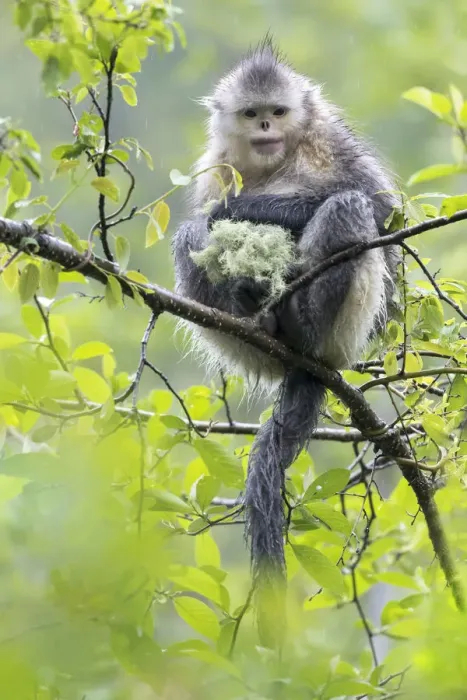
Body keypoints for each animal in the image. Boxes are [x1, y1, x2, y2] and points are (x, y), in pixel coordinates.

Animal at [172, 38, 399, 634]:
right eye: (253, 113)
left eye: (278, 110)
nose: (268, 126)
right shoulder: (218, 161)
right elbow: (201, 223)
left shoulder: (329, 139)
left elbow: (381, 214)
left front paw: (244, 209)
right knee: (188, 238)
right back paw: (256, 310)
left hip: (347, 332)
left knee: (348, 205)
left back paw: (298, 318)